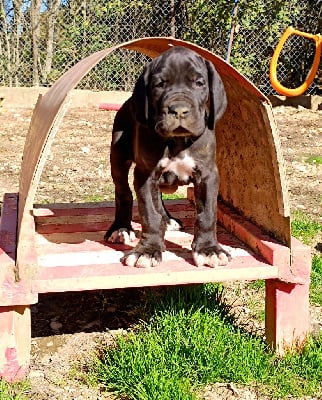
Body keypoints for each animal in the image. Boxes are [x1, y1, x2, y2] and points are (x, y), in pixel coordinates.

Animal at [105, 45, 231, 268]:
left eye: (199, 83)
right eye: (159, 84)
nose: (179, 110)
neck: (177, 141)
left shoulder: (207, 175)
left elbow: (207, 214)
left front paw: (209, 249)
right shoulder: (146, 175)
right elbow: (149, 214)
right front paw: (147, 250)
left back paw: (167, 219)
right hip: (118, 157)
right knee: (123, 192)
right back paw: (121, 228)